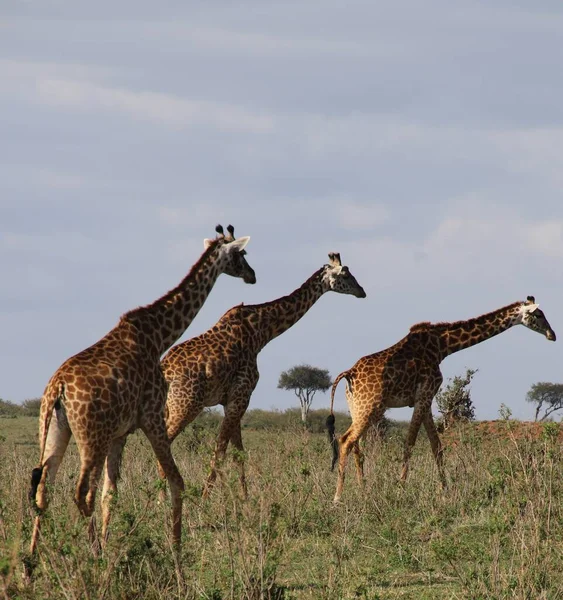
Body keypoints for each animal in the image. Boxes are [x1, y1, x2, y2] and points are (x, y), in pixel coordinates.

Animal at [27, 225, 256, 556]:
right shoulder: (152, 417)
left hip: (56, 429)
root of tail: (58, 387)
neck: (158, 336)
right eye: (242, 253)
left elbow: (111, 494)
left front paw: (110, 545)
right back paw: (93, 555)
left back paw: (31, 562)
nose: (252, 275)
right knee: (80, 493)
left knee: (45, 489)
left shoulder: (121, 433)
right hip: (91, 437)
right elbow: (177, 482)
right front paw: (176, 551)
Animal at [161, 252, 368, 496]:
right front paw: (205, 500)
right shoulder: (241, 396)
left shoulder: (232, 401)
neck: (261, 332)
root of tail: (164, 370)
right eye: (345, 274)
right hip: (186, 405)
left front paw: (243, 499)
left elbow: (238, 454)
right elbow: (220, 453)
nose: (362, 291)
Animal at [328, 296, 556, 502]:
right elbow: (410, 442)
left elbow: (436, 446)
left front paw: (445, 490)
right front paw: (401, 487)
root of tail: (349, 374)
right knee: (346, 440)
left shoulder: (426, 399)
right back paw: (338, 497)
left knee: (356, 445)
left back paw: (363, 489)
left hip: (357, 408)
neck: (442, 346)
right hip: (371, 408)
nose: (552, 335)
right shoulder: (424, 395)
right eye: (538, 314)